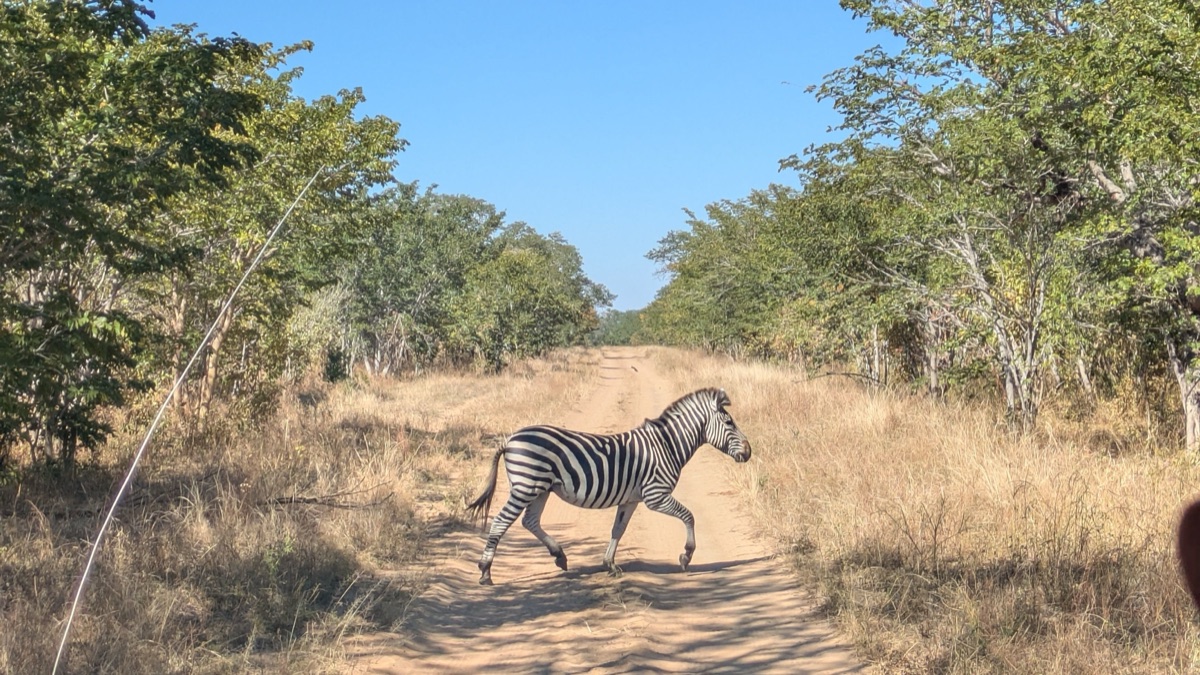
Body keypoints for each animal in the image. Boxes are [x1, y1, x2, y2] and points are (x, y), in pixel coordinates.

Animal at [465, 387, 752, 585]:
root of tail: (510, 438)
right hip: (525, 487)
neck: (667, 445)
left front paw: (609, 564)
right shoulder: (655, 495)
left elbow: (618, 529)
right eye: (729, 423)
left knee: (530, 521)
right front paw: (686, 556)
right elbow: (689, 516)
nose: (749, 452)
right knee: (500, 522)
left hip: (540, 489)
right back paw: (485, 572)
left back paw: (559, 556)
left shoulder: (631, 499)